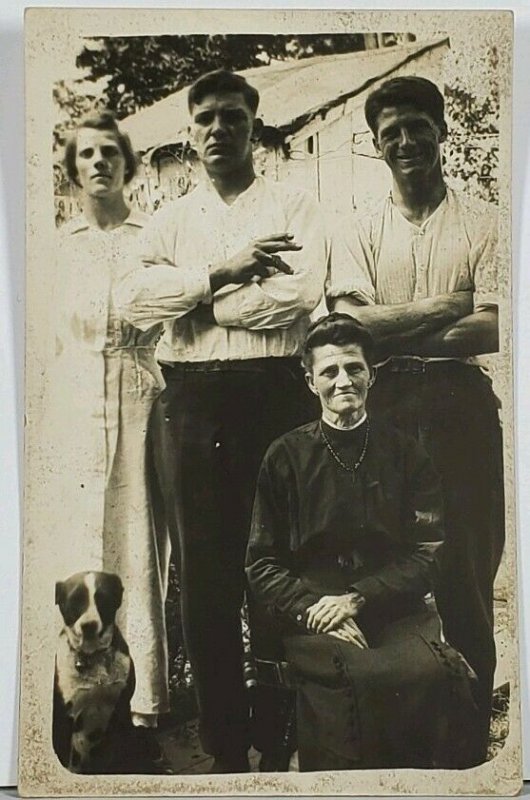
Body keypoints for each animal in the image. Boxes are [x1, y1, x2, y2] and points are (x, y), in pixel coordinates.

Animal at [52, 572, 136, 772]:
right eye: (74, 600)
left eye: (103, 599)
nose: (88, 625)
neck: (94, 657)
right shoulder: (64, 717)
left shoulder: (122, 708)